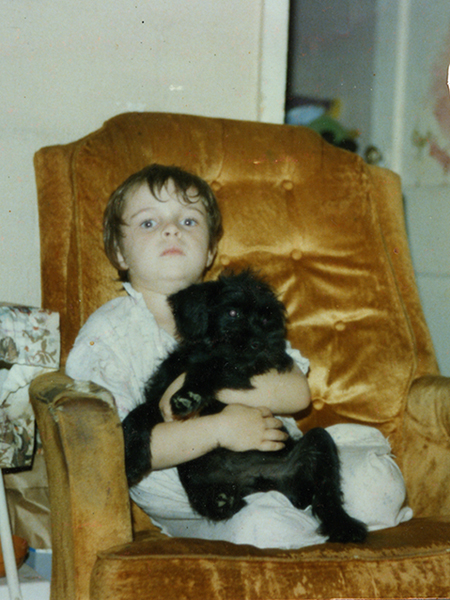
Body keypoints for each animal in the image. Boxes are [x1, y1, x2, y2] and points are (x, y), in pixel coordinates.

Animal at [121, 272, 368, 544]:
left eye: (267, 317)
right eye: (232, 312)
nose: (263, 343)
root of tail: (267, 483)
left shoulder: (239, 370)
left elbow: (214, 365)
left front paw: (190, 392)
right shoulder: (159, 399)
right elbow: (137, 415)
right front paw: (132, 456)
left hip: (318, 442)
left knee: (326, 494)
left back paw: (344, 526)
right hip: (195, 471)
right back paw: (217, 501)